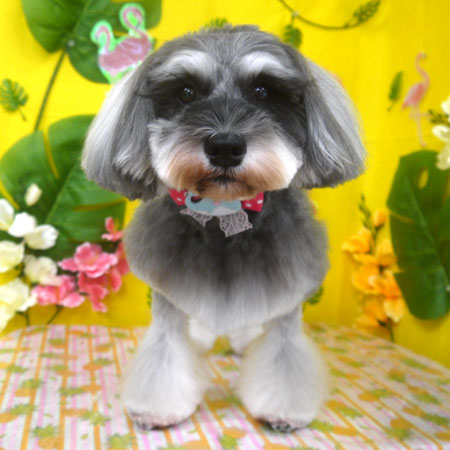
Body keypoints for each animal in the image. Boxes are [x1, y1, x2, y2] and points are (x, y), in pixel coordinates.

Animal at [82, 25, 365, 432]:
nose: (226, 146)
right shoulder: (166, 300)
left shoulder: (288, 299)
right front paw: (156, 409)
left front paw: (283, 411)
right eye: (185, 92)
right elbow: (164, 353)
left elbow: (284, 358)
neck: (223, 212)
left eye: (263, 91)